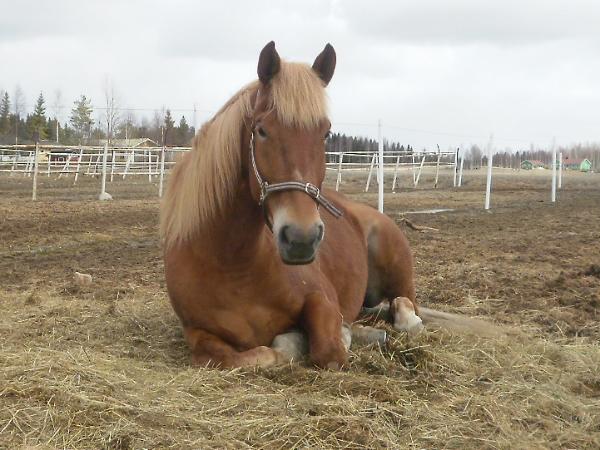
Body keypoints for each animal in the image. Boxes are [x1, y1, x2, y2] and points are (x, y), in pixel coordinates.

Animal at [160, 42, 427, 369]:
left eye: (325, 133)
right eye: (261, 130)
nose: (302, 239)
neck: (234, 266)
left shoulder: (321, 297)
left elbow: (327, 349)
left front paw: (332, 337)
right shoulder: (197, 333)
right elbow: (243, 356)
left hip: (399, 274)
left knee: (405, 305)